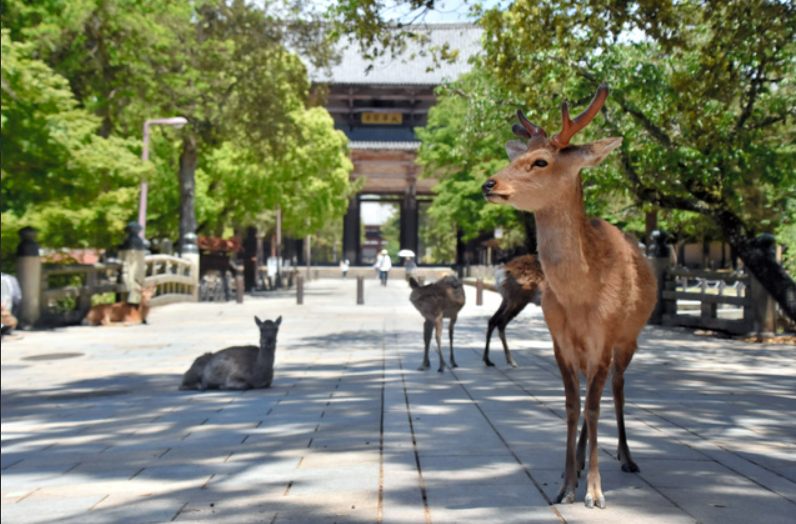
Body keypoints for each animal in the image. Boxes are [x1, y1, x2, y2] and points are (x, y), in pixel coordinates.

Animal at [482, 86, 656, 508]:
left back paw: (626, 457)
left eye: (540, 161)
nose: (489, 184)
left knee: (617, 389)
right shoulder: (560, 341)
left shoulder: (604, 339)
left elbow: (593, 408)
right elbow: (571, 408)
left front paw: (595, 493)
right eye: (515, 156)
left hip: (630, 338)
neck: (581, 297)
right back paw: (576, 463)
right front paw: (564, 486)